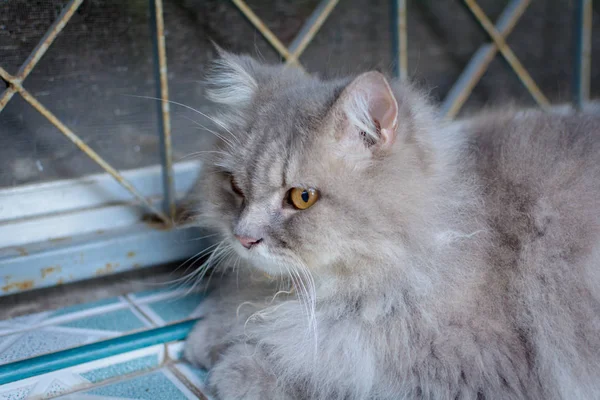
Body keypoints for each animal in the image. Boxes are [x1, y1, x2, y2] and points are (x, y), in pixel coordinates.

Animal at [183, 50, 600, 400]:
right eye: (235, 187)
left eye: (302, 197)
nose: (243, 237)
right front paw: (211, 337)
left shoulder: (466, 367)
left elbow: (325, 373)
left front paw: (234, 369)